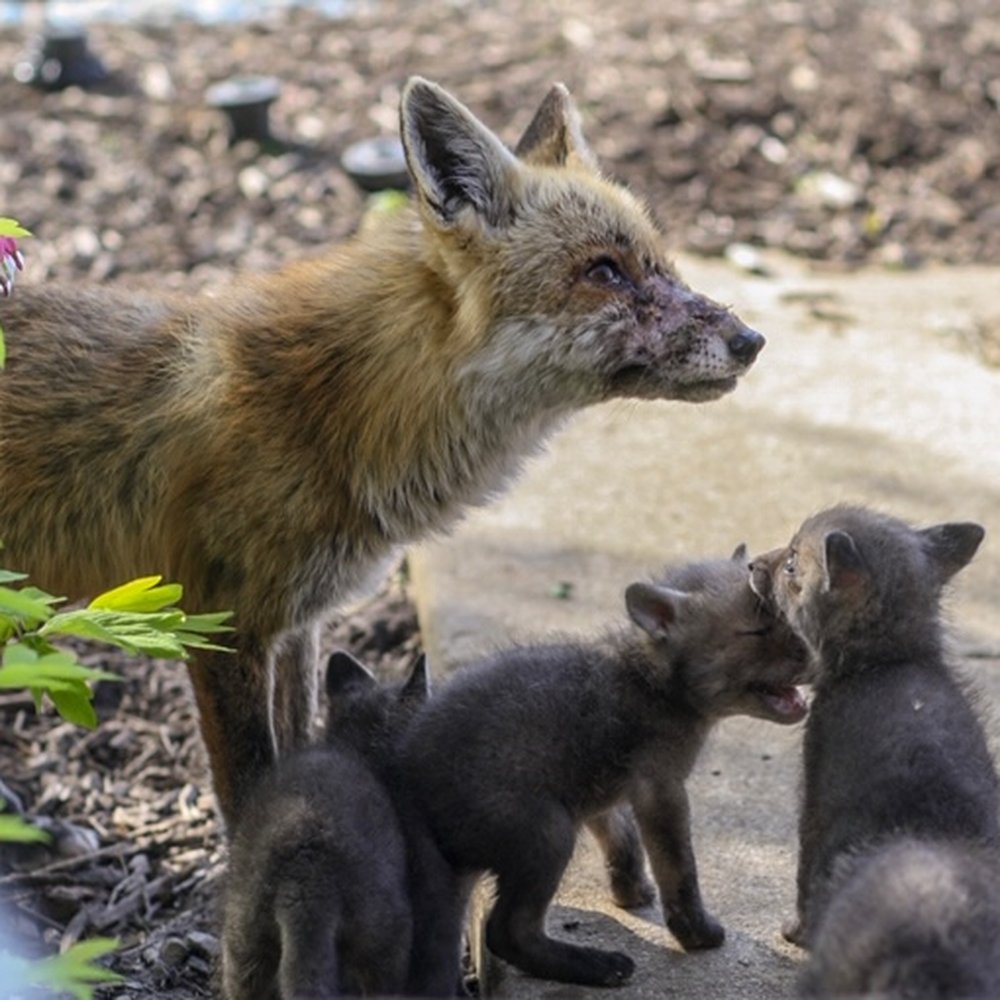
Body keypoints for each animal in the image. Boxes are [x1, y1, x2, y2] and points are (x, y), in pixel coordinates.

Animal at [0, 78, 765, 825]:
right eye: (604, 272)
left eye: (664, 264)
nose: (751, 340)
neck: (330, 408)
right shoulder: (221, 626)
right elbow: (249, 792)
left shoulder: (297, 624)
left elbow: (297, 750)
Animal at [398, 550, 810, 987]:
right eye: (758, 631)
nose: (812, 651)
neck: (650, 685)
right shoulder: (660, 787)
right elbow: (679, 868)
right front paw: (696, 934)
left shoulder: (599, 792)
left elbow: (622, 839)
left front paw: (630, 892)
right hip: (548, 833)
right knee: (507, 932)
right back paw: (599, 966)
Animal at [748, 505, 1000, 997]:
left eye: (792, 564)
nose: (751, 564)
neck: (888, 661)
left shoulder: (814, 797)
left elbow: (804, 873)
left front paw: (794, 932)